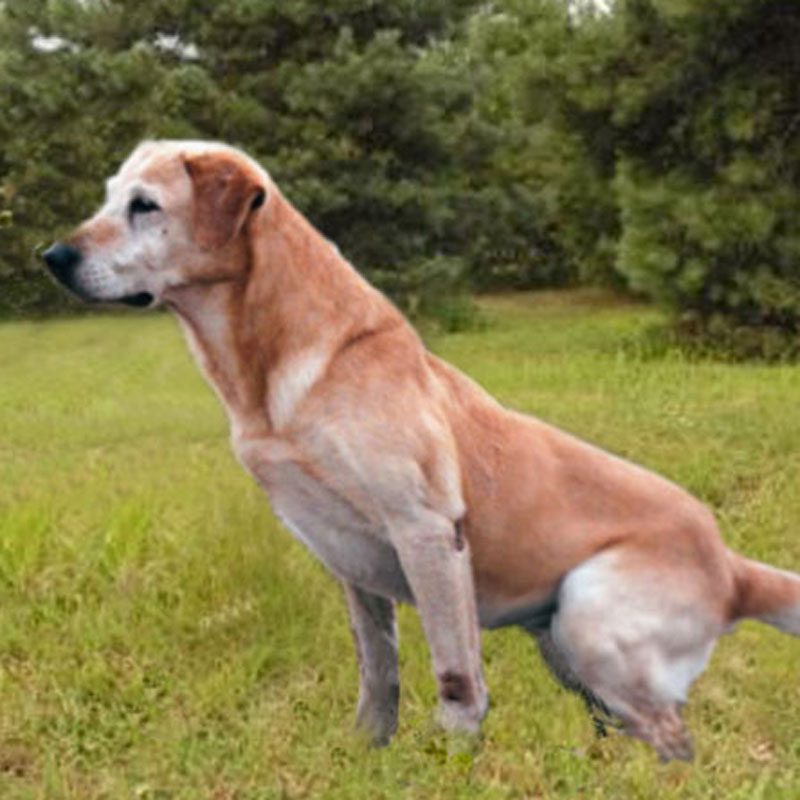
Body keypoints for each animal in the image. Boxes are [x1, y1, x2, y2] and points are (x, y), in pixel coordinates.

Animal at [43, 140, 800, 761]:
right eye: (108, 196)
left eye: (145, 205)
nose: (52, 257)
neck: (275, 371)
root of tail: (732, 565)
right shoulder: (346, 559)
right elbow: (379, 673)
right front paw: (364, 753)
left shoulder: (426, 530)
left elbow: (456, 675)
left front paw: (448, 762)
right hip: (563, 639)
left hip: (589, 609)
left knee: (671, 738)